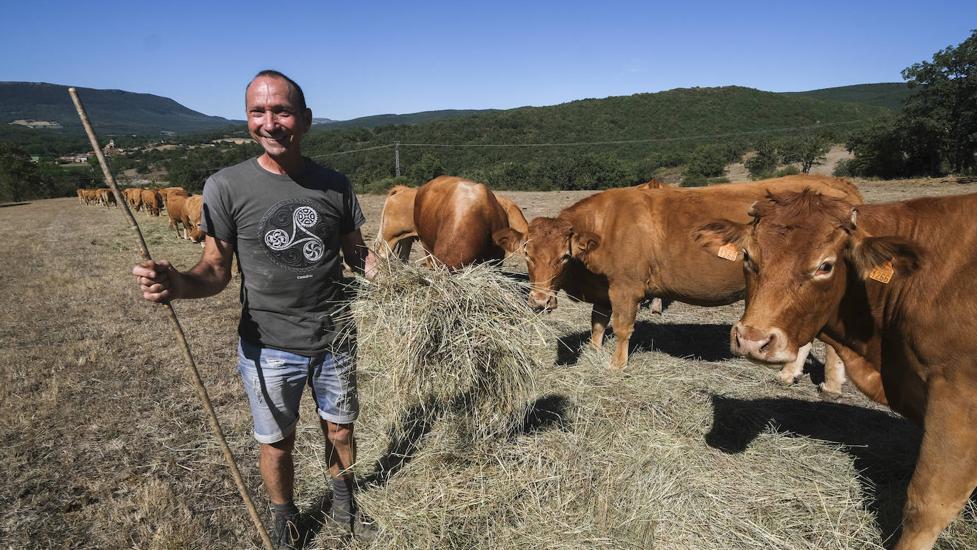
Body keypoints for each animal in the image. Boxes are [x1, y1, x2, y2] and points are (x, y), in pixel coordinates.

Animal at [496, 175, 860, 382]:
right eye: (527, 254)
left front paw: (616, 365)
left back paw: (798, 376)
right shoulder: (604, 289)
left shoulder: (626, 288)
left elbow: (623, 327)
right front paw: (594, 351)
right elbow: (598, 322)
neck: (606, 226)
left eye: (564, 256)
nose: (539, 301)